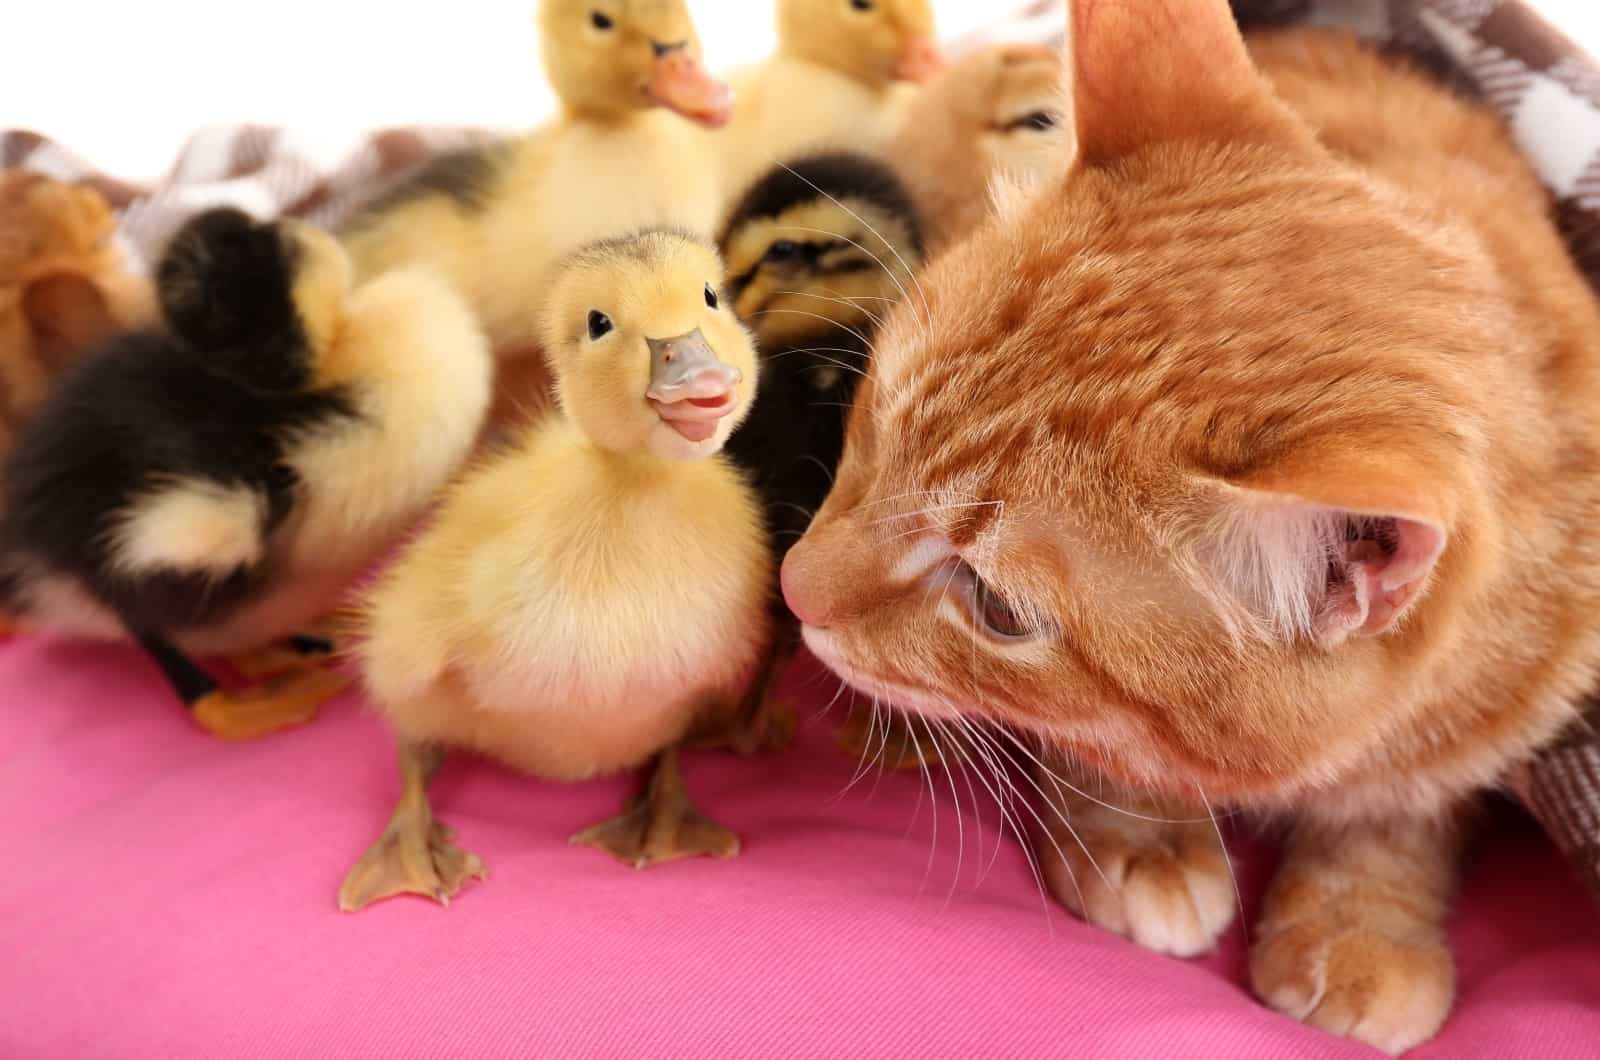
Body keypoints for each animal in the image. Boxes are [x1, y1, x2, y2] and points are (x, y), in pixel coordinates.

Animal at [780, 0, 1600, 1056]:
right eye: (874, 419)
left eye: (997, 610)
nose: (793, 587)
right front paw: (1147, 834)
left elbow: (1406, 810)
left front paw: (1363, 920)